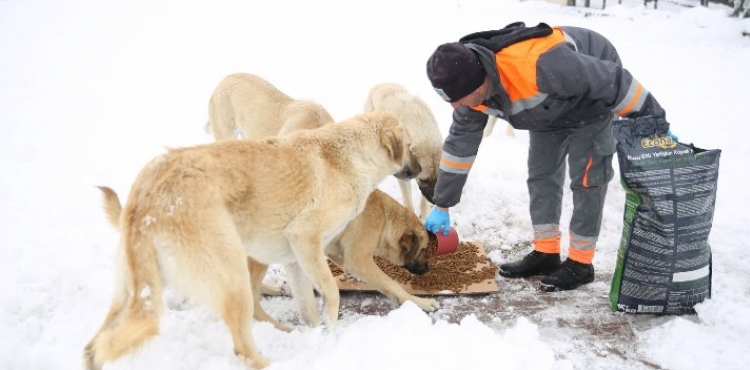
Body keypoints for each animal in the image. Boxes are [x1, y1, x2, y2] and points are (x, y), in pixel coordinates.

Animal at [84, 112, 424, 370]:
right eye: (410, 145)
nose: (421, 170)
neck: (348, 157)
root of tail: (147, 197)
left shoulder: (296, 256)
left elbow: (307, 306)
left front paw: (316, 339)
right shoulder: (309, 240)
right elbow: (334, 292)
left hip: (133, 291)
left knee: (95, 345)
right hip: (231, 272)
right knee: (243, 344)